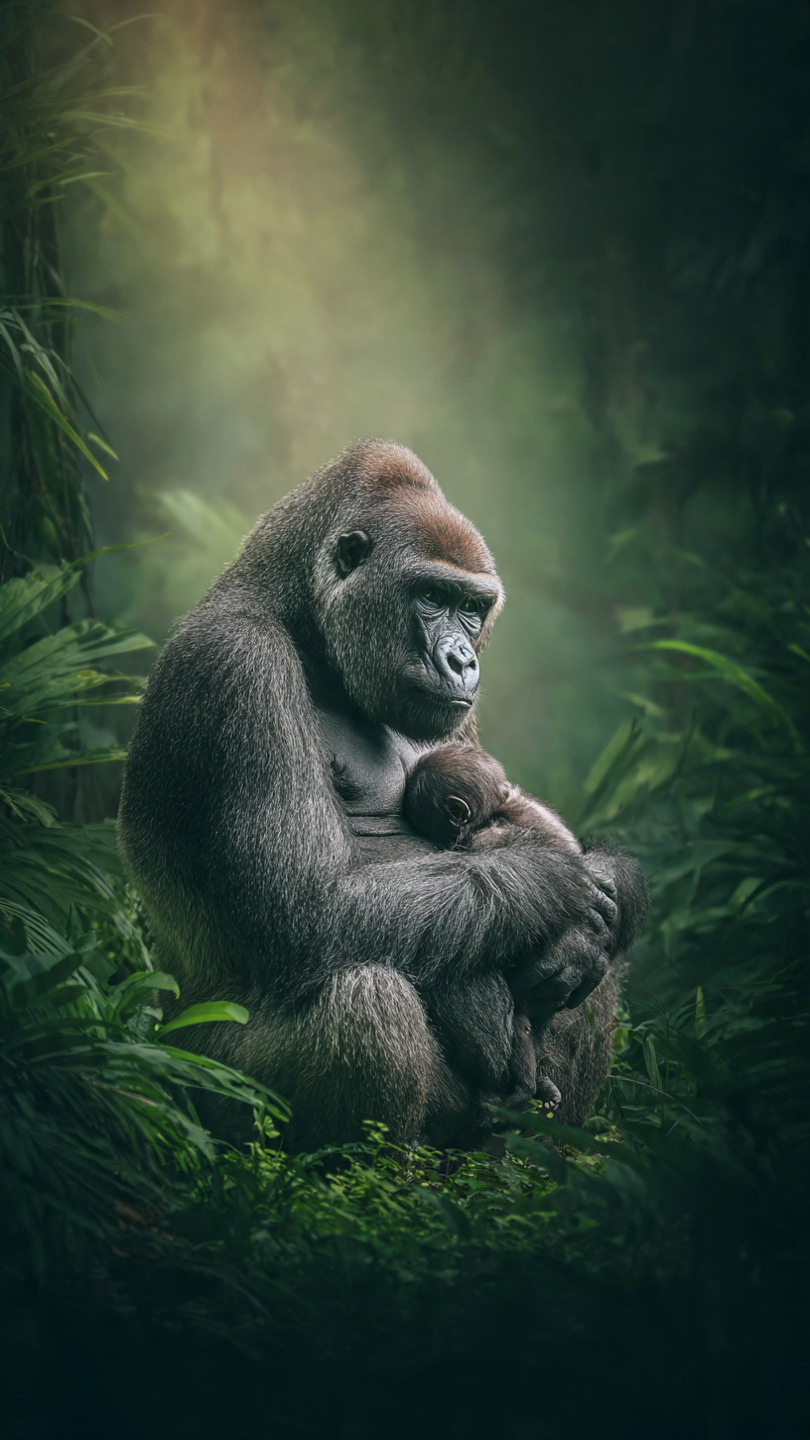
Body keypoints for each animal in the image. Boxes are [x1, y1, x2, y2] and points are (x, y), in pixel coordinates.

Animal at [119, 439, 648, 1150]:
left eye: (472, 608)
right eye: (429, 595)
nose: (463, 661)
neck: (301, 619)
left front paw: (604, 891)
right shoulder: (238, 664)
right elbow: (307, 911)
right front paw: (551, 877)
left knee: (596, 974)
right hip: (196, 1085)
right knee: (367, 999)